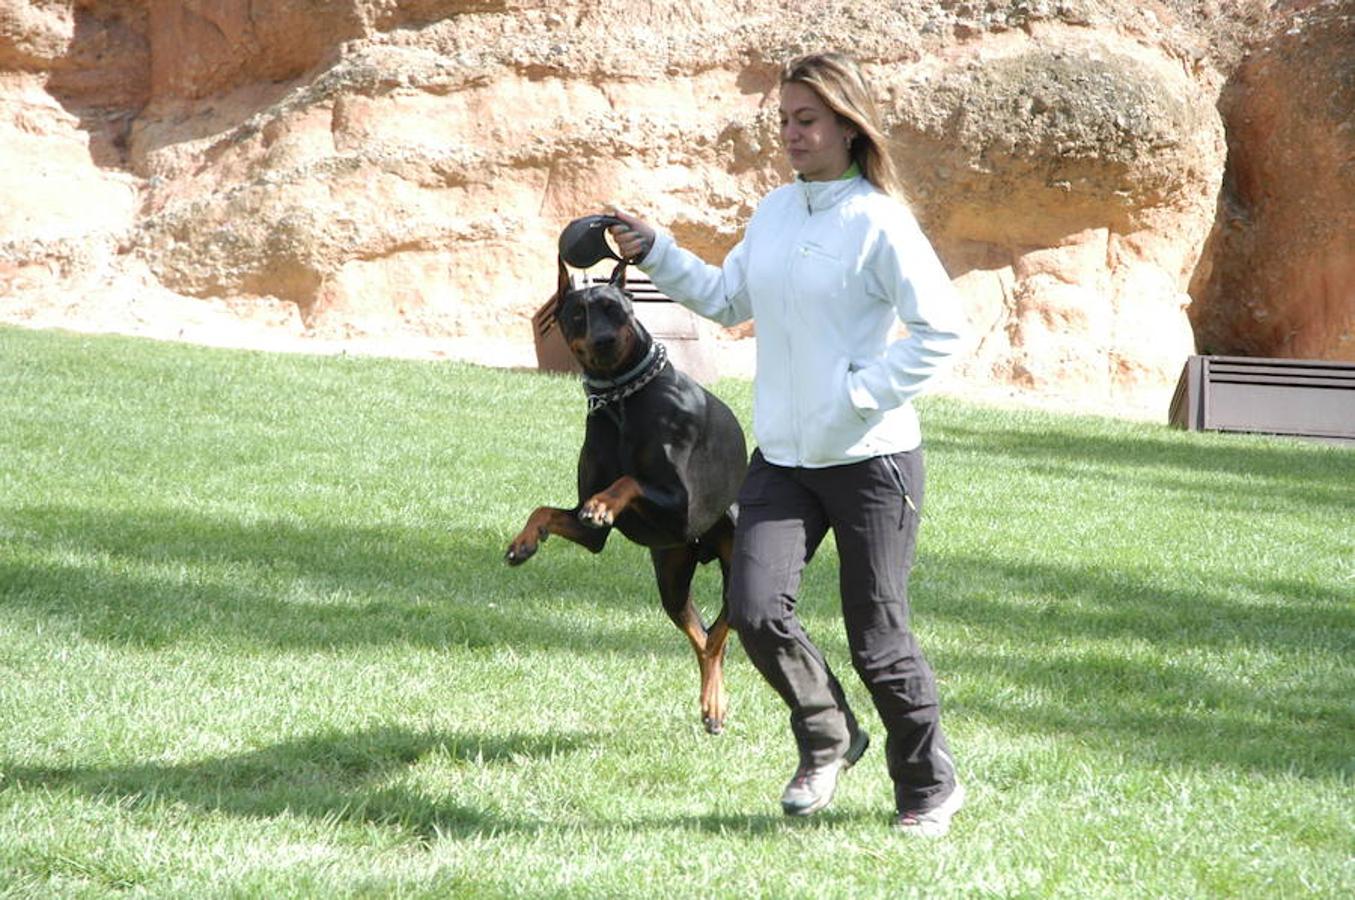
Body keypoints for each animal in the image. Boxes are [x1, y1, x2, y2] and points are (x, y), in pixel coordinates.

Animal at [506, 256, 747, 737]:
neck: (620, 399)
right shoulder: (590, 535)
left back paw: (714, 705)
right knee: (703, 637)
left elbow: (628, 482)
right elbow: (546, 510)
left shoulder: (680, 506)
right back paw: (709, 702)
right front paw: (524, 542)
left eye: (616, 309)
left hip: (739, 569)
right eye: (578, 314)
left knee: (717, 635)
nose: (603, 340)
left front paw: (603, 505)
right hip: (671, 577)